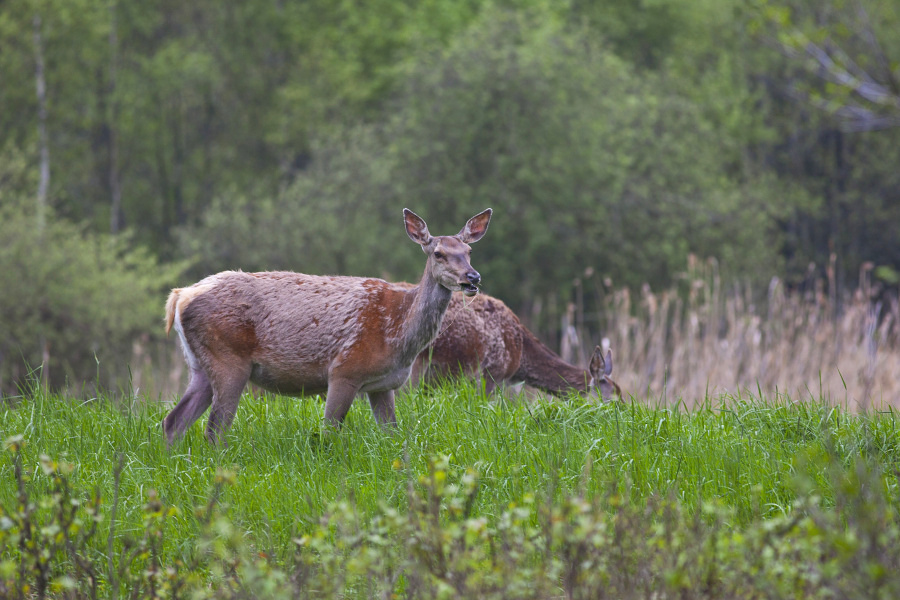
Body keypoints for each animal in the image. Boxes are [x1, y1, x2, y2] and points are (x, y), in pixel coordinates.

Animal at [162, 209, 492, 442]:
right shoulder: (345, 370)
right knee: (214, 429)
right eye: (438, 253)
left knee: (173, 421)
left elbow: (393, 434)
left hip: (199, 364)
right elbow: (329, 433)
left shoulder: (383, 385)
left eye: (469, 252)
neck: (399, 334)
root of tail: (179, 297)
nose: (472, 278)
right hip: (228, 358)